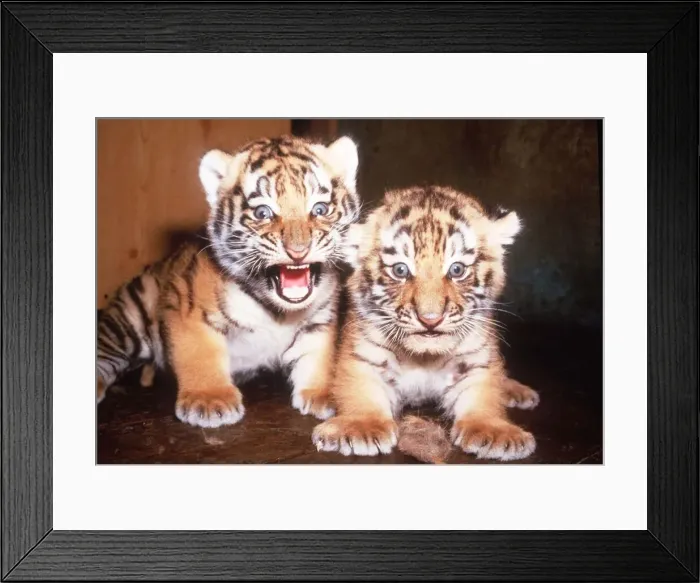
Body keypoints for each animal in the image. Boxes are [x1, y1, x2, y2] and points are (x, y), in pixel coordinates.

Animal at [96, 134, 361, 428]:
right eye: (263, 213)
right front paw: (209, 401)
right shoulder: (187, 306)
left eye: (320, 209)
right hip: (129, 319)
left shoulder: (319, 319)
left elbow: (319, 355)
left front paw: (325, 393)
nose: (298, 251)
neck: (279, 311)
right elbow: (199, 353)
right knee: (104, 355)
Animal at [312, 185, 540, 461]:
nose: (430, 318)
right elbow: (360, 389)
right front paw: (360, 427)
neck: (424, 356)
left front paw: (494, 431)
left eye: (456, 270)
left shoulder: (477, 360)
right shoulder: (363, 356)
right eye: (400, 270)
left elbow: (484, 393)